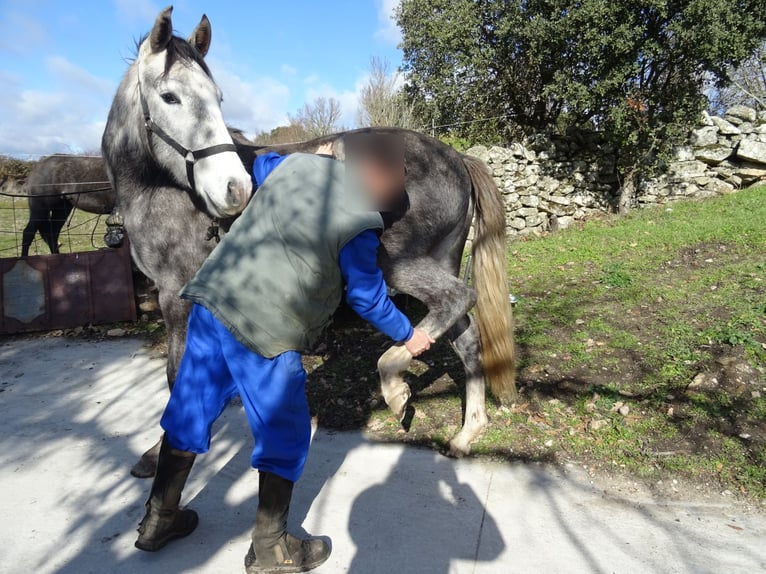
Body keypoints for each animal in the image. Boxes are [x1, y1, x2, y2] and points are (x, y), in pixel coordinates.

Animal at [101, 7, 515, 478]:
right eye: (169, 97)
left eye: (218, 98)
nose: (234, 189)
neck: (165, 188)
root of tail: (456, 157)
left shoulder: (175, 296)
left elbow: (176, 380)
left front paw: (158, 454)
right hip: (440, 260)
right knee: (466, 336)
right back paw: (468, 432)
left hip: (399, 264)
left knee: (457, 299)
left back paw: (394, 382)